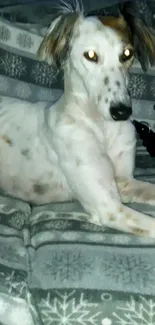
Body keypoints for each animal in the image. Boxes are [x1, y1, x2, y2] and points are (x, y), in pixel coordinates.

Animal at [0, 1, 155, 237]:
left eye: (127, 53)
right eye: (90, 55)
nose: (122, 112)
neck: (102, 128)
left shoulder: (124, 182)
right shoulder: (109, 207)